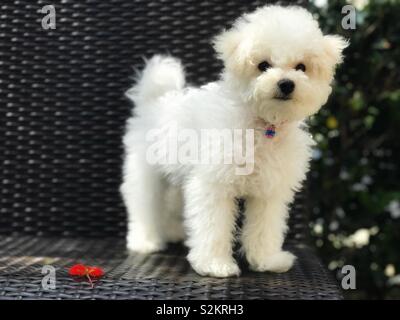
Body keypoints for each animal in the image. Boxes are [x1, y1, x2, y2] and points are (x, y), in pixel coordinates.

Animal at [119, 5, 346, 278]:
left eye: (301, 67)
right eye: (263, 65)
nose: (286, 83)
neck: (263, 125)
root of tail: (156, 101)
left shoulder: (269, 192)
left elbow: (265, 228)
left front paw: (267, 260)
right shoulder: (213, 185)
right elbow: (213, 227)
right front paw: (214, 265)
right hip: (146, 170)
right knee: (144, 202)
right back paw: (145, 240)